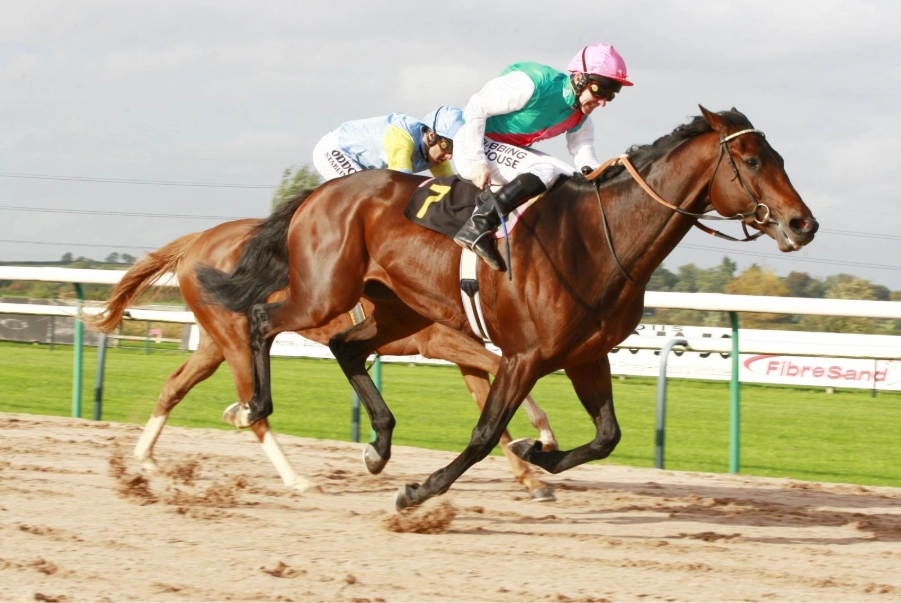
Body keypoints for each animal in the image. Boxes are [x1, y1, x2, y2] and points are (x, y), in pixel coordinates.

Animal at [87, 216, 559, 501]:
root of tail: (196, 242)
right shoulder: (437, 341)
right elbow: (500, 372)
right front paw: (543, 436)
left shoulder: (457, 348)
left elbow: (490, 403)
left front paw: (530, 477)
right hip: (235, 339)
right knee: (255, 410)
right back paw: (294, 476)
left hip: (212, 341)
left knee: (175, 384)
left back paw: (148, 458)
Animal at [197, 107, 819, 510]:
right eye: (752, 160)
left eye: (780, 156)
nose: (802, 223)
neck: (597, 238)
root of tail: (318, 193)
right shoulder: (524, 355)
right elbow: (483, 432)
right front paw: (420, 491)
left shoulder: (587, 356)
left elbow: (607, 437)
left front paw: (537, 455)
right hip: (326, 291)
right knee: (264, 320)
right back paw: (254, 406)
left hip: (399, 309)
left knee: (344, 346)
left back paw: (378, 445)